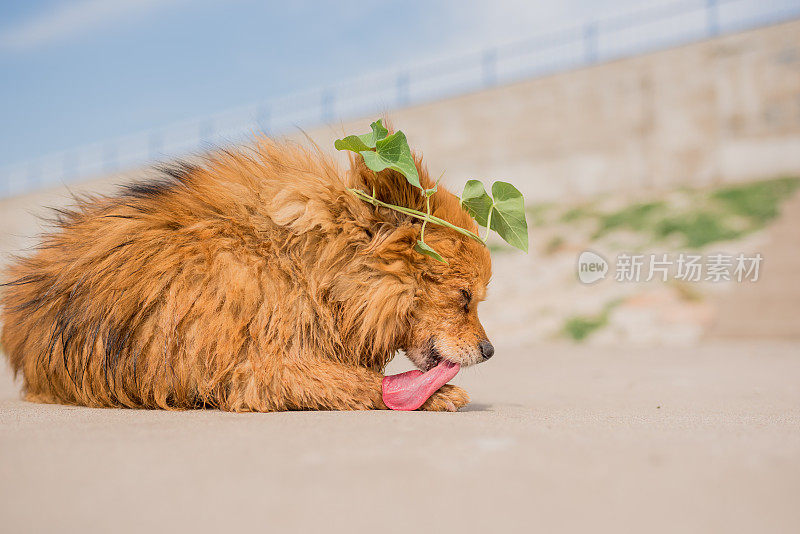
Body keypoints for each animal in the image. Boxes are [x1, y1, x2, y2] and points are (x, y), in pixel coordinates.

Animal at [1, 131, 494, 414]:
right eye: (464, 297)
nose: (490, 351)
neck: (300, 265)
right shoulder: (254, 369)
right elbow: (355, 381)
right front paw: (436, 395)